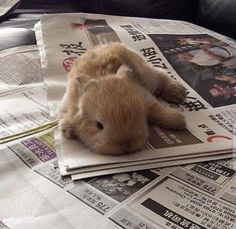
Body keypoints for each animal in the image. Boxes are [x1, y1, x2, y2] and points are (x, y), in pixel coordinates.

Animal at [58, 42, 187, 155]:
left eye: (139, 116)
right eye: (99, 126)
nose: (127, 146)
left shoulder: (146, 98)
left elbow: (158, 110)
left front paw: (179, 121)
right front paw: (68, 130)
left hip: (149, 74)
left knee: (161, 74)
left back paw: (178, 93)